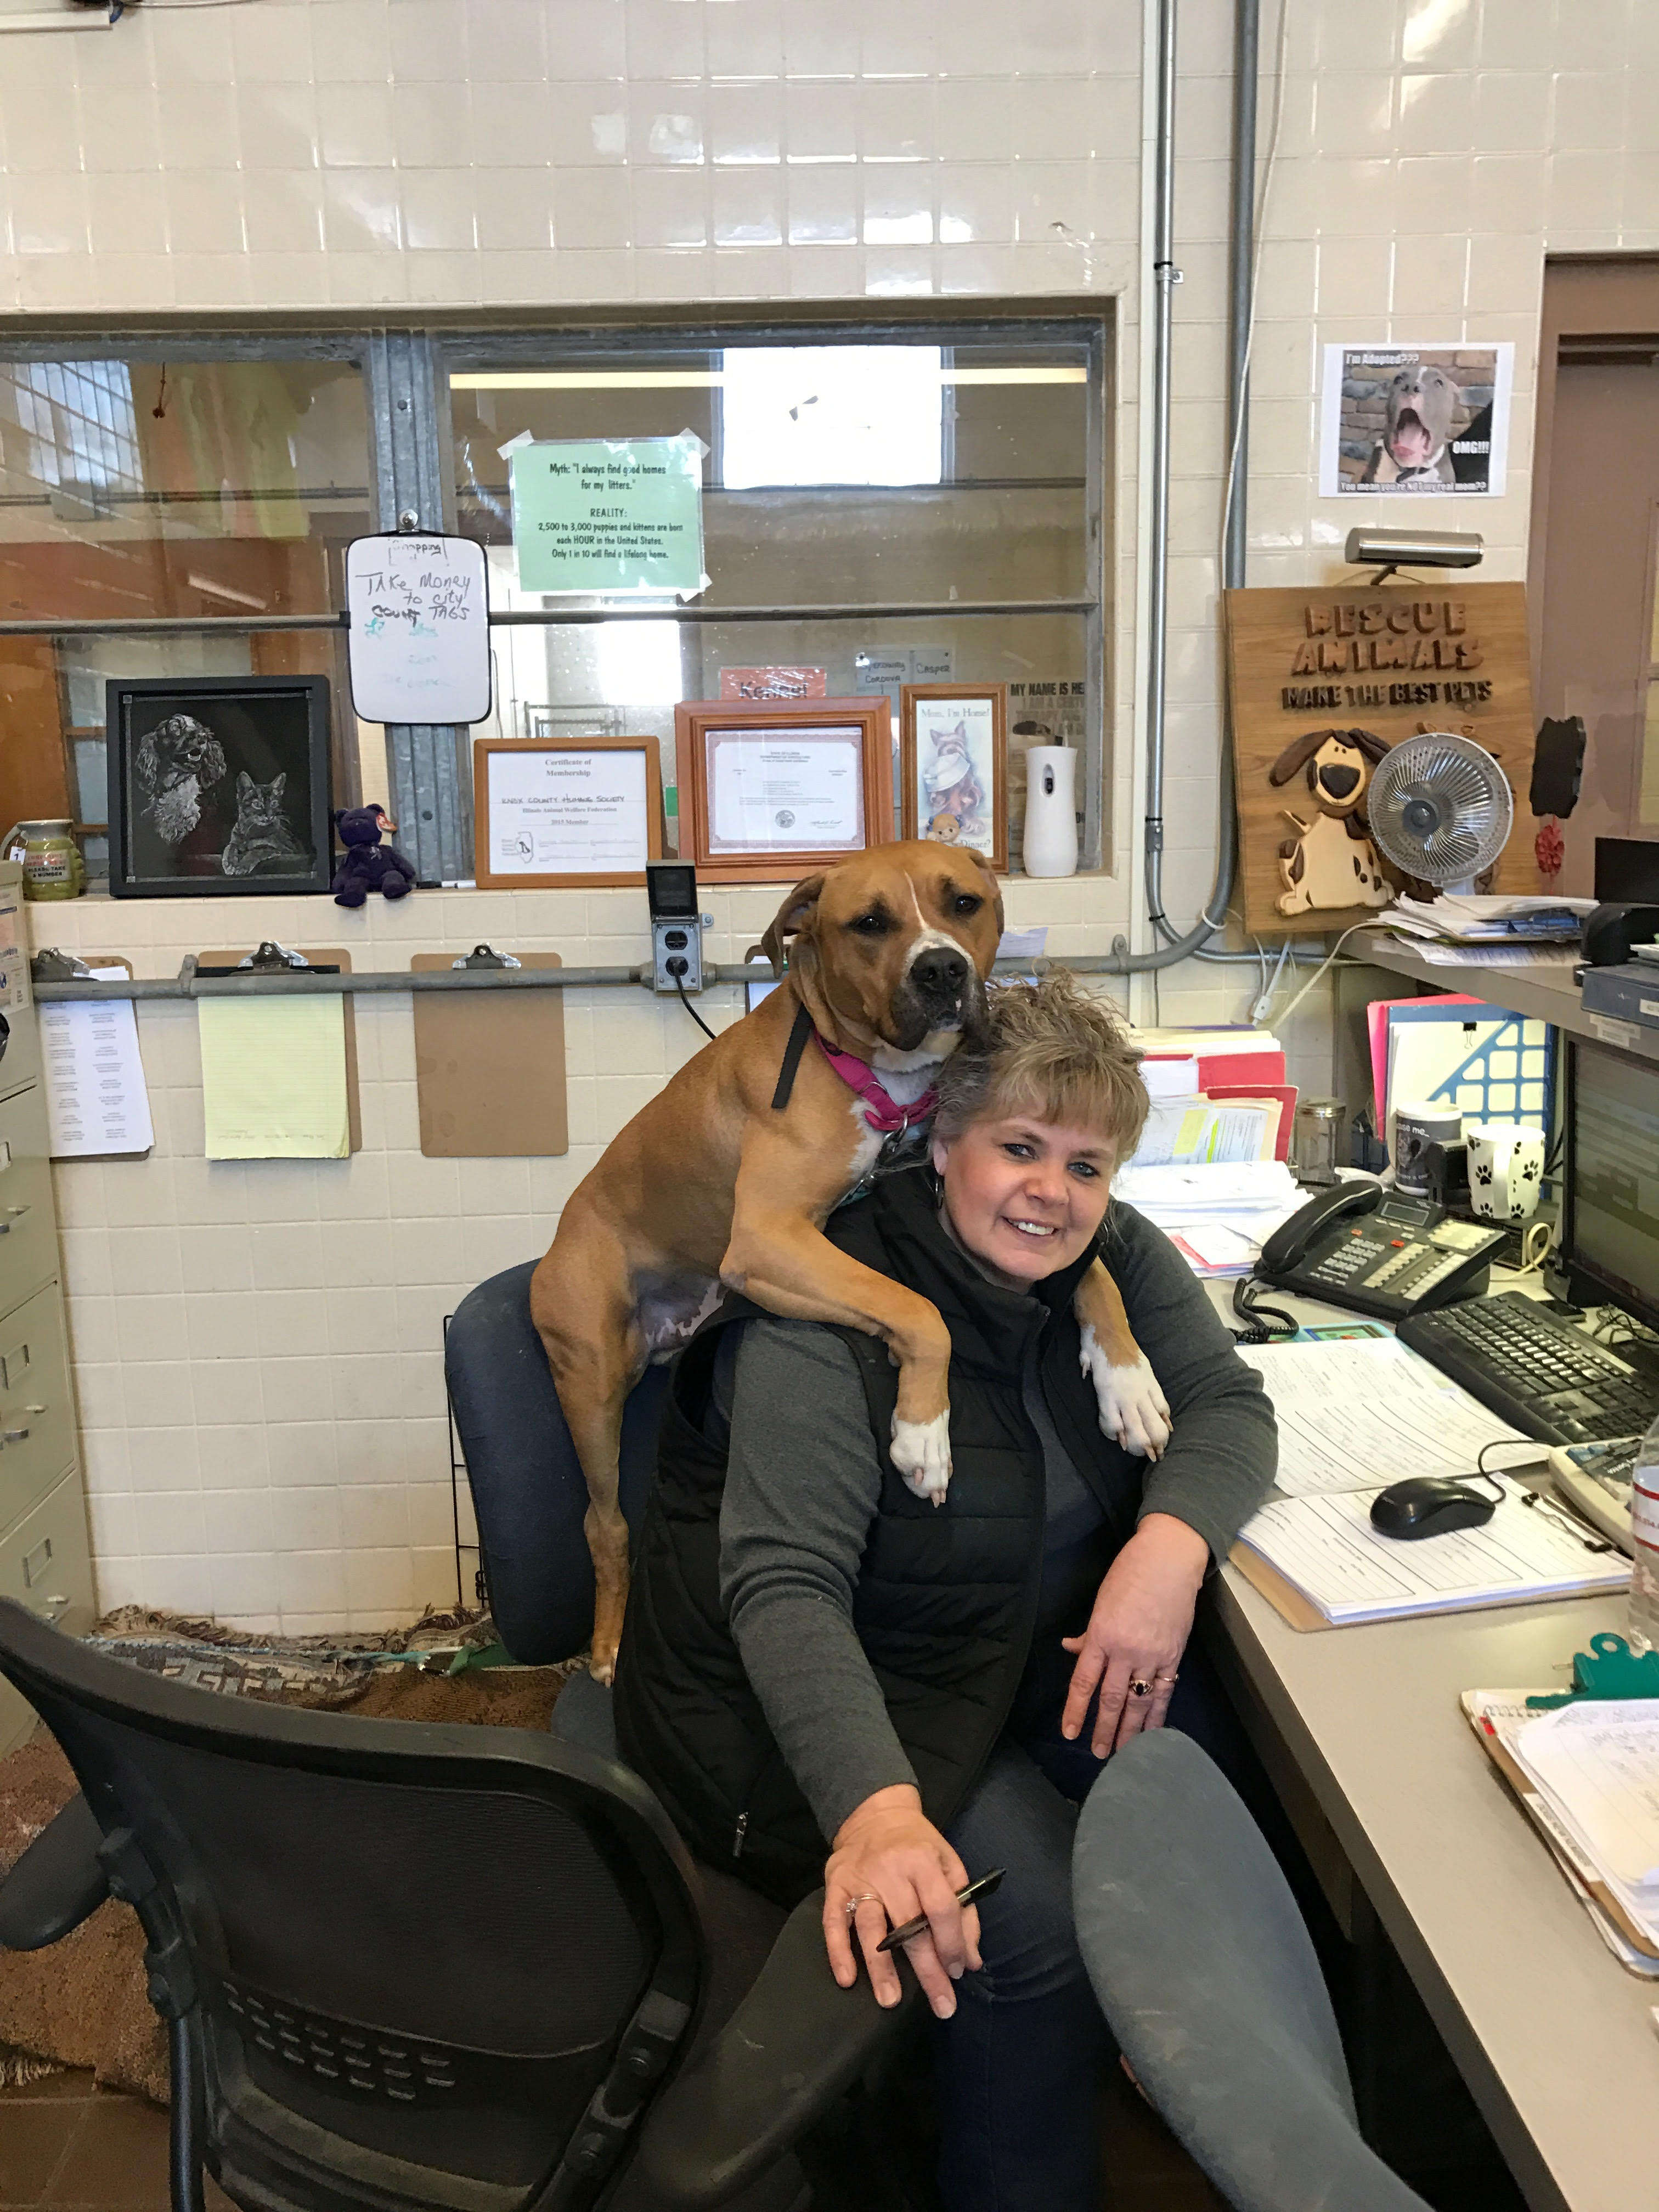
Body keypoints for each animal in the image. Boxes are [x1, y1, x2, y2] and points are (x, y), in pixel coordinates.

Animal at [533, 840, 1167, 1672]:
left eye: (963, 903)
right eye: (869, 924)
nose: (942, 970)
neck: (877, 1078)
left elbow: (1091, 1274)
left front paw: (1129, 1382)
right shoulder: (768, 1237)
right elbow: (920, 1309)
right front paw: (923, 1430)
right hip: (593, 1387)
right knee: (602, 1525)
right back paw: (606, 1646)